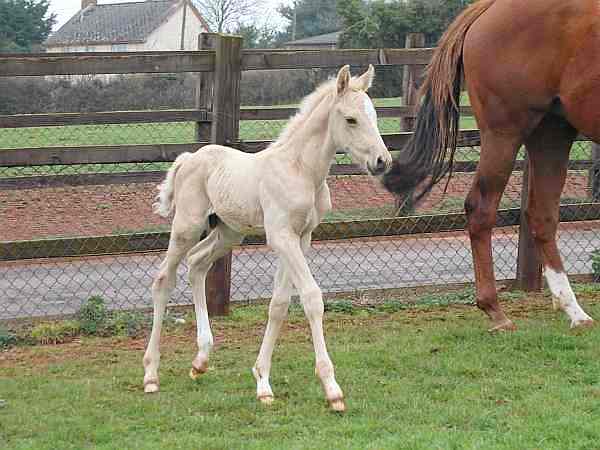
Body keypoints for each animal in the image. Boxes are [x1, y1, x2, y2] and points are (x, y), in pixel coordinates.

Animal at [384, 0, 596, 330]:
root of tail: (489, 7)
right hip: (504, 134)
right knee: (481, 208)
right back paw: (495, 310)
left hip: (551, 133)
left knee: (542, 216)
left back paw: (574, 311)